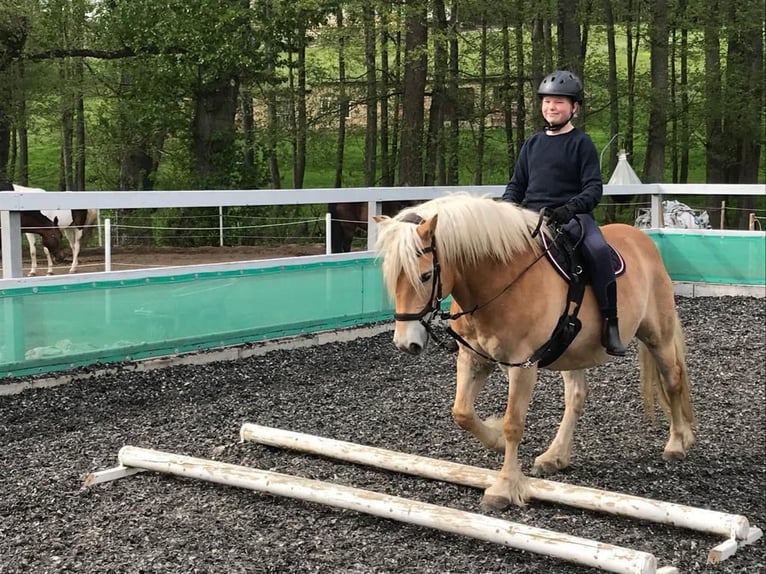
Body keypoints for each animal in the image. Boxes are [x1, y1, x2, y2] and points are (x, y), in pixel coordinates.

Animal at [374, 193, 695, 510]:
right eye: (391, 276)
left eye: (426, 275)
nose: (405, 343)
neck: (498, 280)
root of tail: (643, 239)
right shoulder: (473, 358)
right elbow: (461, 412)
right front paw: (494, 440)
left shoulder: (523, 366)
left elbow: (513, 423)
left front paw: (504, 488)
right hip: (573, 351)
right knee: (576, 396)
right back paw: (555, 456)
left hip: (658, 335)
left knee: (673, 380)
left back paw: (677, 444)